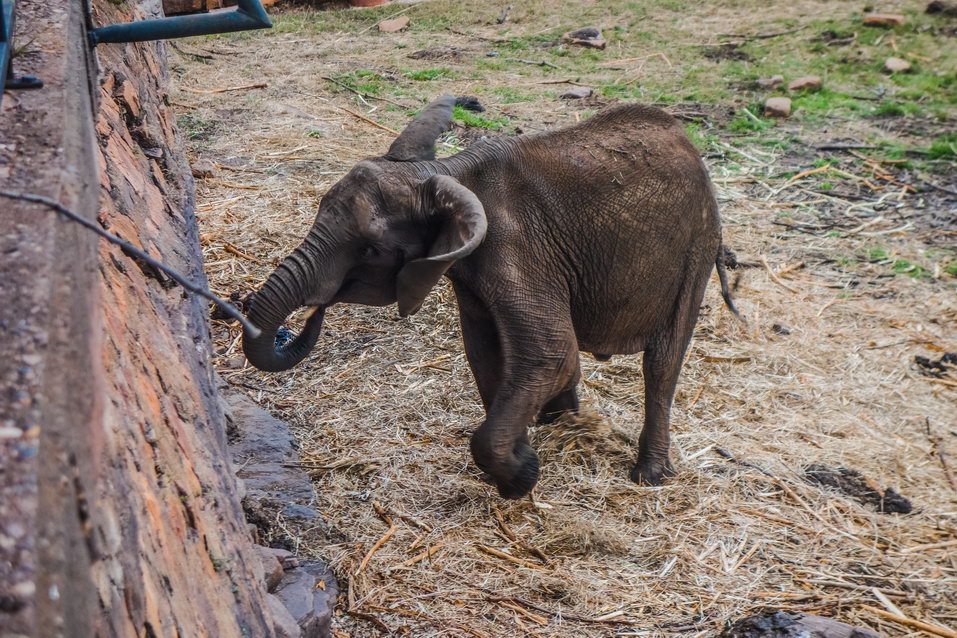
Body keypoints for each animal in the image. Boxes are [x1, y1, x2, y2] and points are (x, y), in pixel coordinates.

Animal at [241, 95, 740, 502]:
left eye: (369, 250)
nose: (313, 312)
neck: (447, 172)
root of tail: (686, 140)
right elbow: (483, 350)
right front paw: (522, 454)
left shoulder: (517, 247)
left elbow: (549, 352)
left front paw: (522, 477)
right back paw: (560, 421)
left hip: (697, 244)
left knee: (663, 362)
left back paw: (649, 475)